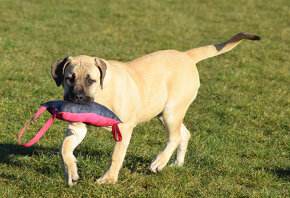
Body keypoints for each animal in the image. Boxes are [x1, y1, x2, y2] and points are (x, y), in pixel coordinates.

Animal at [50, 32, 260, 187]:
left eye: (91, 80)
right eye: (69, 78)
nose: (77, 98)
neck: (101, 94)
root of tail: (186, 56)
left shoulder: (124, 128)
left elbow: (115, 156)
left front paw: (108, 179)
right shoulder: (77, 126)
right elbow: (64, 149)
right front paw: (72, 173)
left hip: (171, 111)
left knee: (175, 136)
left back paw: (158, 163)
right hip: (165, 112)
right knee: (184, 134)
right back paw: (176, 163)